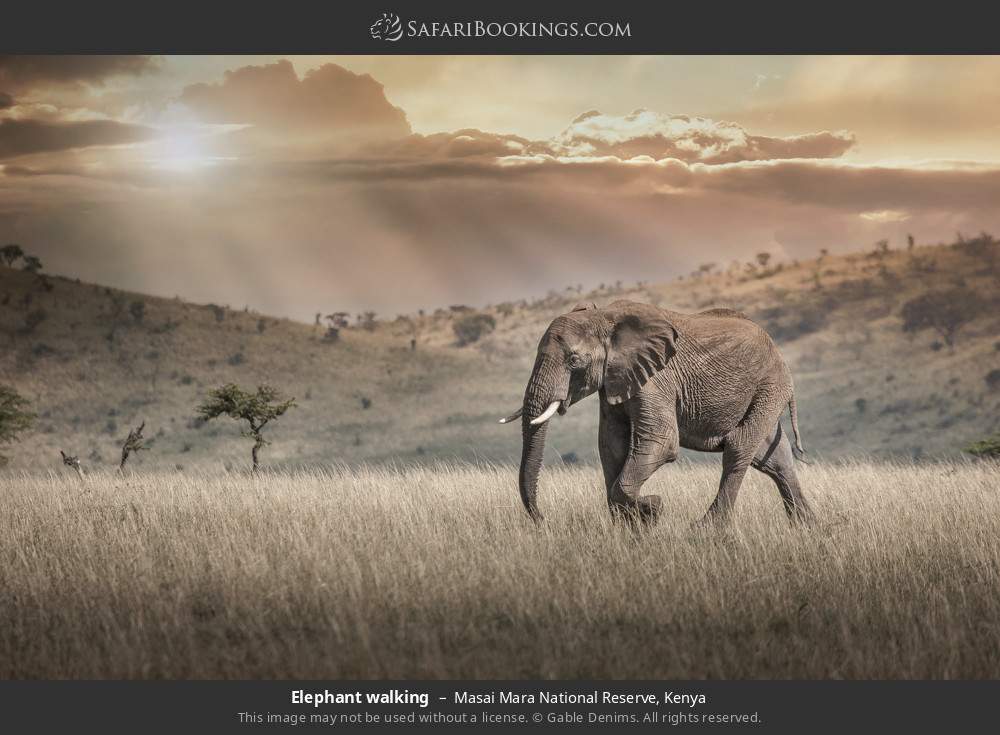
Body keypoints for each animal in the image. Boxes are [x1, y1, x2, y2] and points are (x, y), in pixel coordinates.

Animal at [498, 300, 812, 528]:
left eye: (574, 360)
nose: (542, 519)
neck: (606, 317)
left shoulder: (656, 378)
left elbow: (661, 442)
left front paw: (653, 507)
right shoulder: (614, 381)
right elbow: (611, 445)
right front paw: (633, 526)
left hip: (770, 385)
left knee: (739, 446)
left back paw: (706, 528)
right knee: (774, 458)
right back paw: (807, 527)